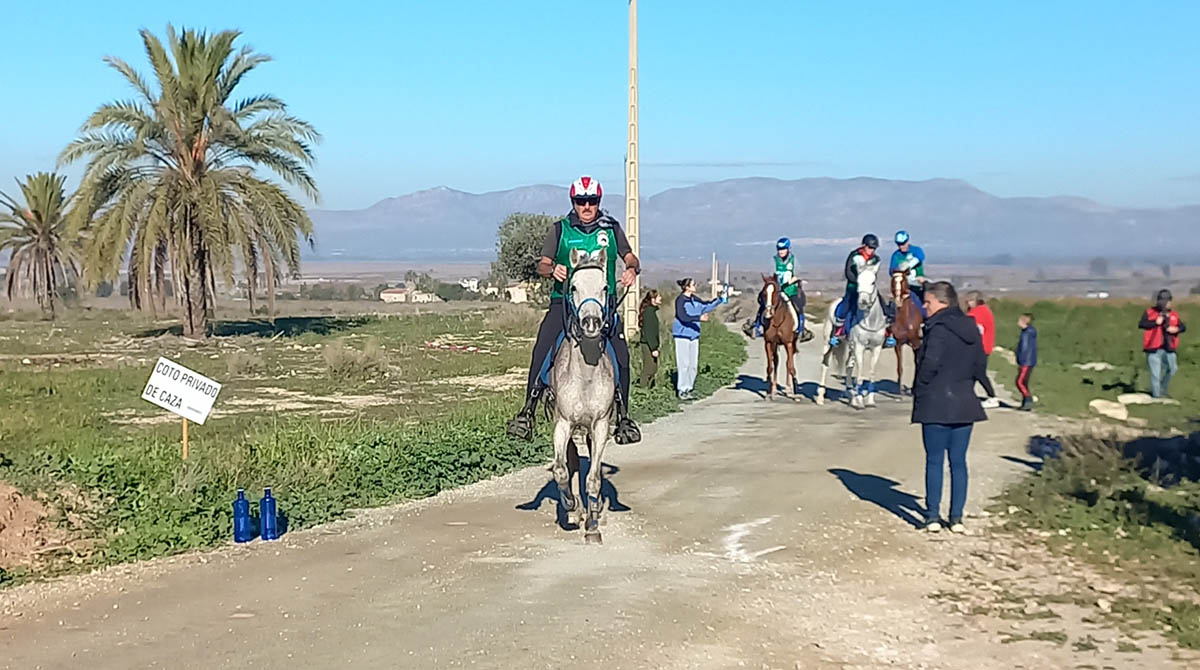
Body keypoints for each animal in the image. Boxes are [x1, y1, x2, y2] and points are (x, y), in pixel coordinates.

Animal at [816, 262, 892, 410]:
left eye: (873, 282)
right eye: (858, 282)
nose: (862, 302)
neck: (870, 321)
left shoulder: (876, 348)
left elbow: (871, 373)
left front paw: (869, 401)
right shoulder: (859, 347)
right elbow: (860, 373)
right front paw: (860, 402)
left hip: (850, 347)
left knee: (848, 366)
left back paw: (850, 394)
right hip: (829, 343)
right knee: (825, 364)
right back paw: (821, 397)